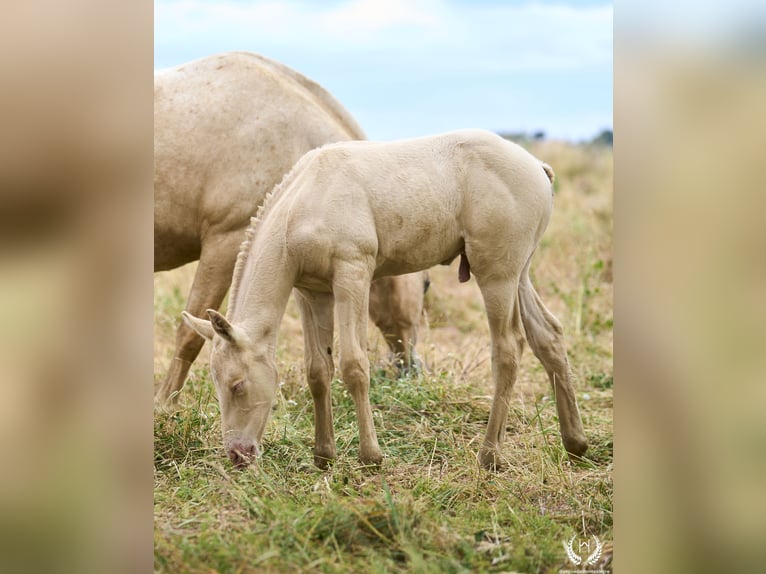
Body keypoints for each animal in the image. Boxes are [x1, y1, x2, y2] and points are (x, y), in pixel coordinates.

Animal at [184, 130, 588, 472]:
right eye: (217, 385)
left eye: (237, 385)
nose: (238, 455)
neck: (303, 203)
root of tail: (538, 167)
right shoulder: (311, 293)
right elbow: (318, 370)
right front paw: (323, 456)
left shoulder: (352, 273)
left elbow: (353, 364)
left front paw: (370, 456)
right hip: (520, 272)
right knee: (548, 335)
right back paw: (575, 444)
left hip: (496, 274)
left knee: (507, 348)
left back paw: (489, 455)